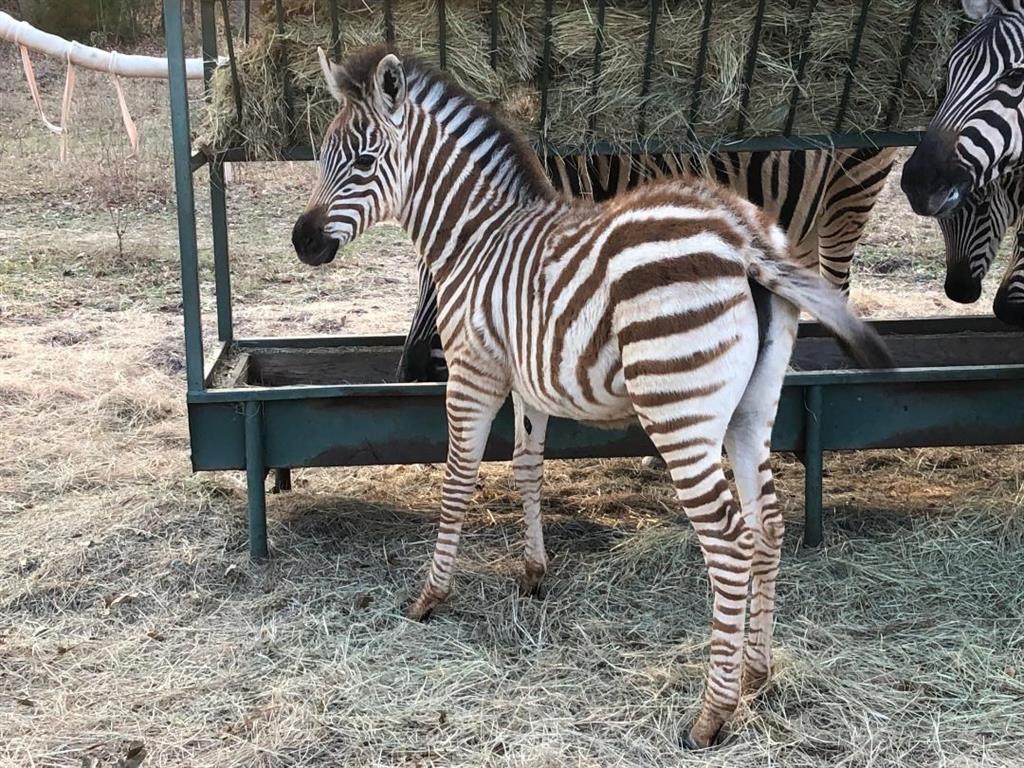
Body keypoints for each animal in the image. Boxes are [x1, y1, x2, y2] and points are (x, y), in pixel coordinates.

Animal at [292, 48, 892, 753]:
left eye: (362, 162)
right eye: (321, 155)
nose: (303, 243)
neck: (477, 238)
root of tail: (744, 237)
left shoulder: (473, 370)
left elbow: (459, 478)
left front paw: (431, 596)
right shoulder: (529, 377)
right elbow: (526, 467)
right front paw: (533, 571)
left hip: (680, 409)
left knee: (729, 539)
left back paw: (712, 713)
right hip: (751, 409)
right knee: (767, 523)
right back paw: (757, 671)